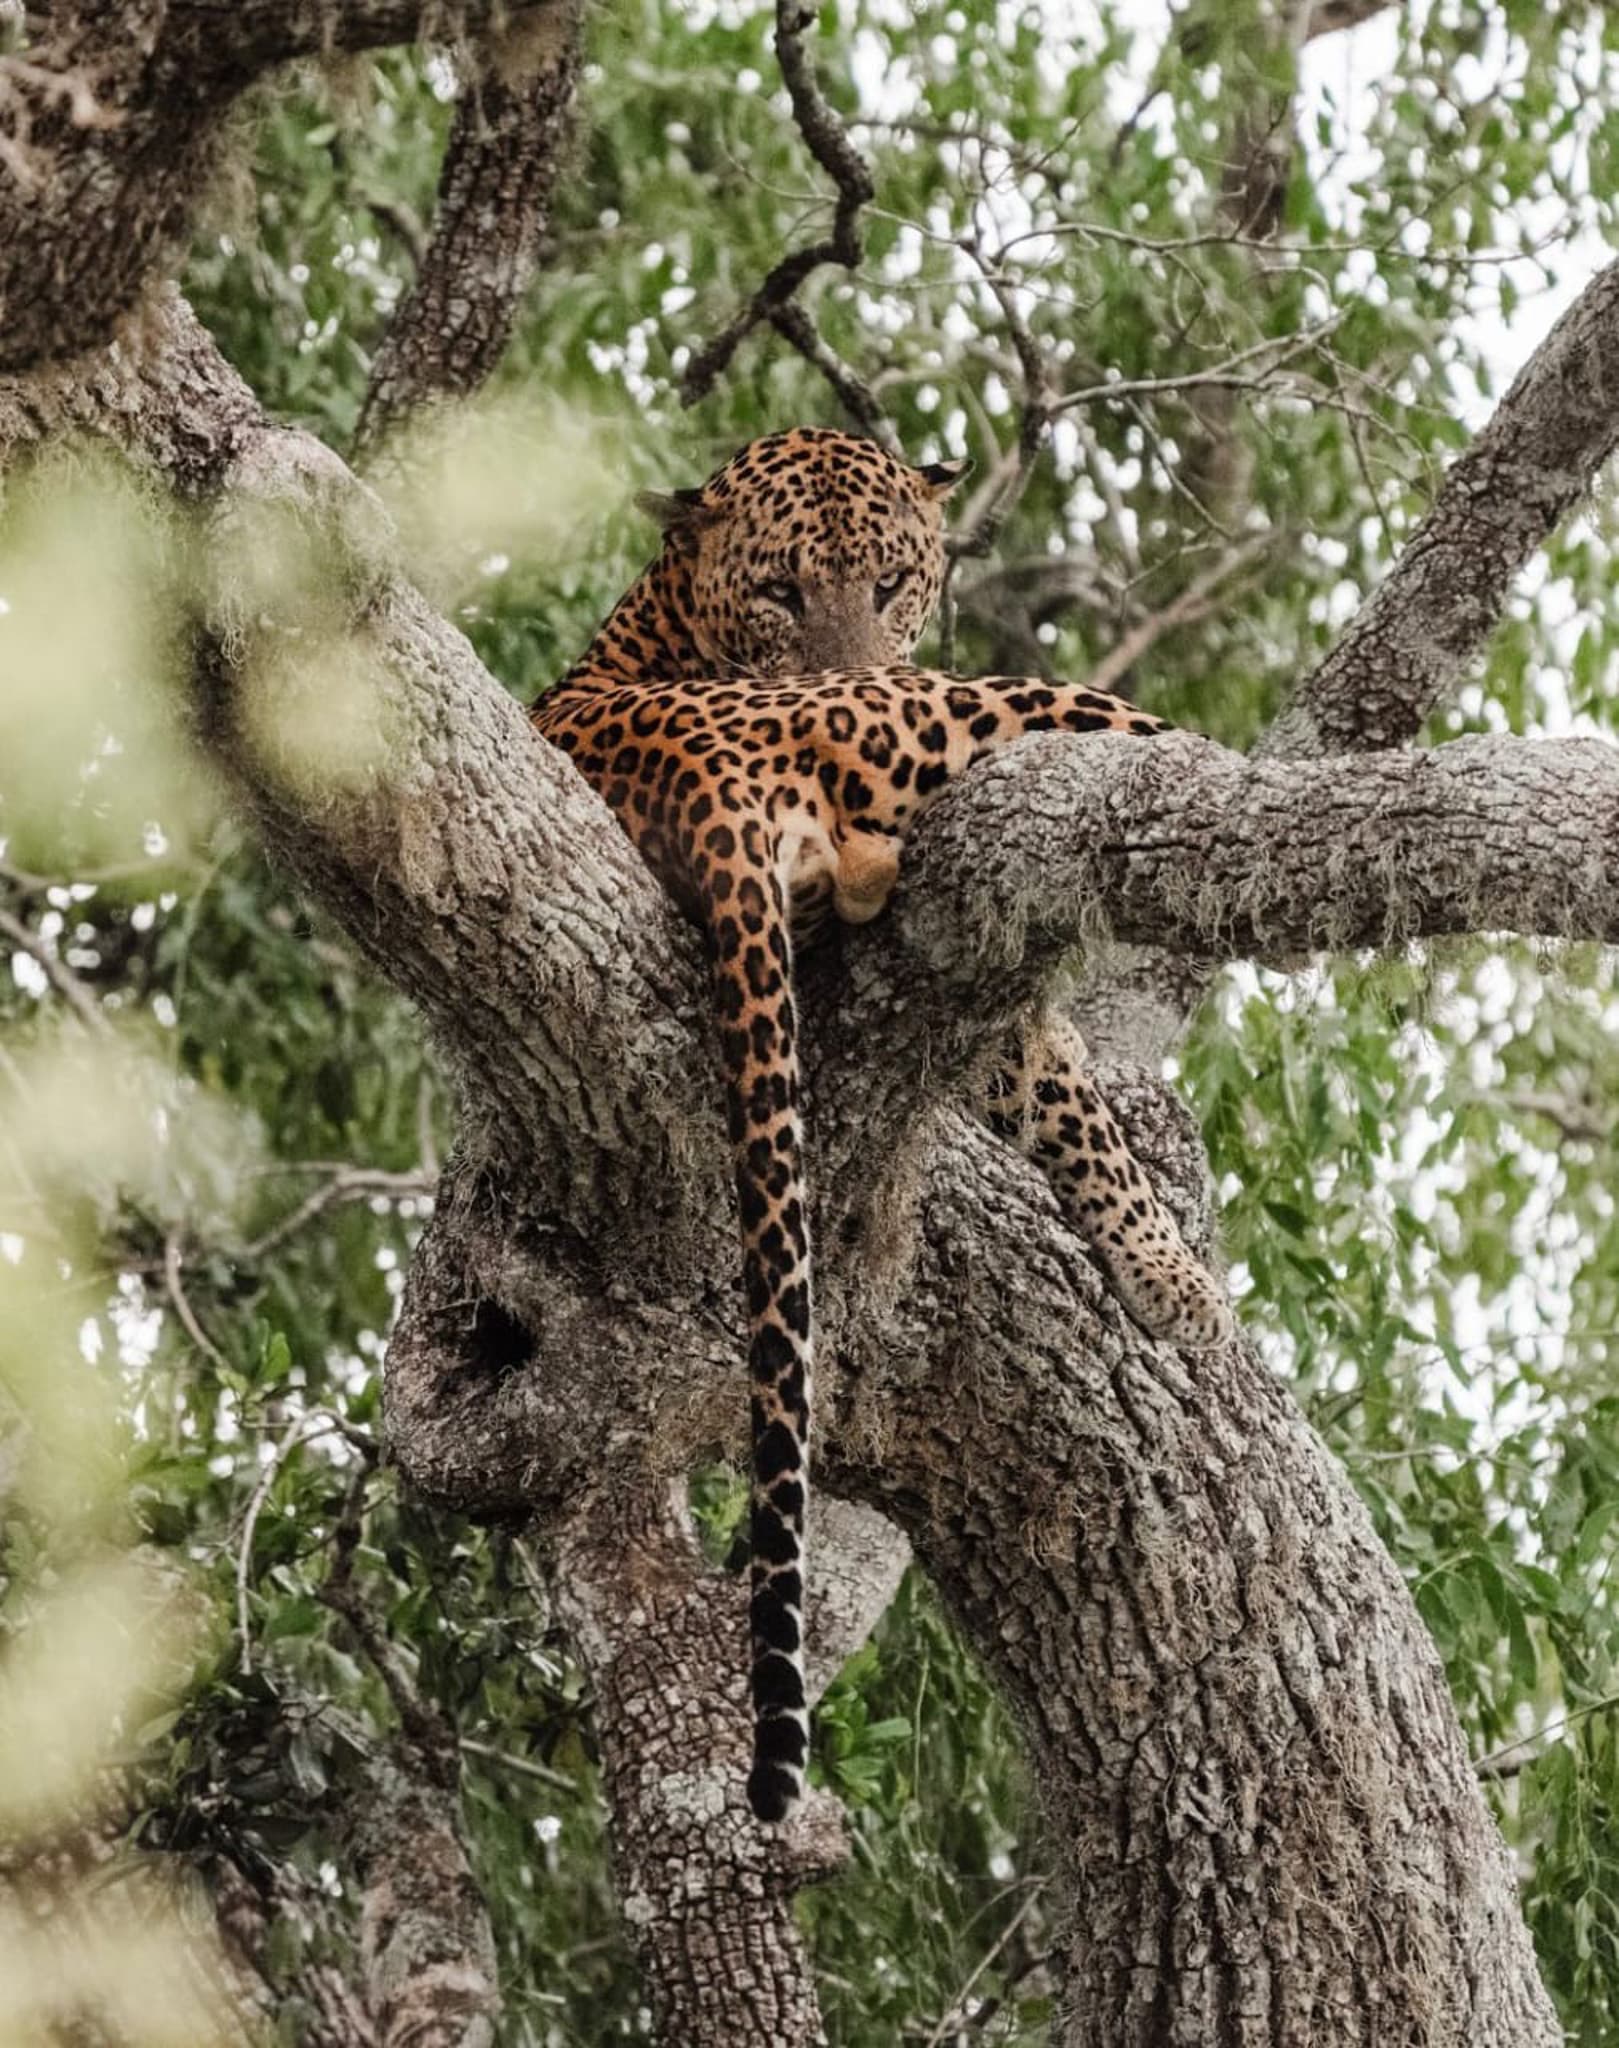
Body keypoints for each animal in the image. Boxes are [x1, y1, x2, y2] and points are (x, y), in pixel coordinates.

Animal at [531, 426, 1232, 1824]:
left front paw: (1156, 1266)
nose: (855, 657)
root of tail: (694, 777)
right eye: (778, 590)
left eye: (894, 579)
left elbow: (1062, 1093)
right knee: (1118, 726)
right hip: (958, 708)